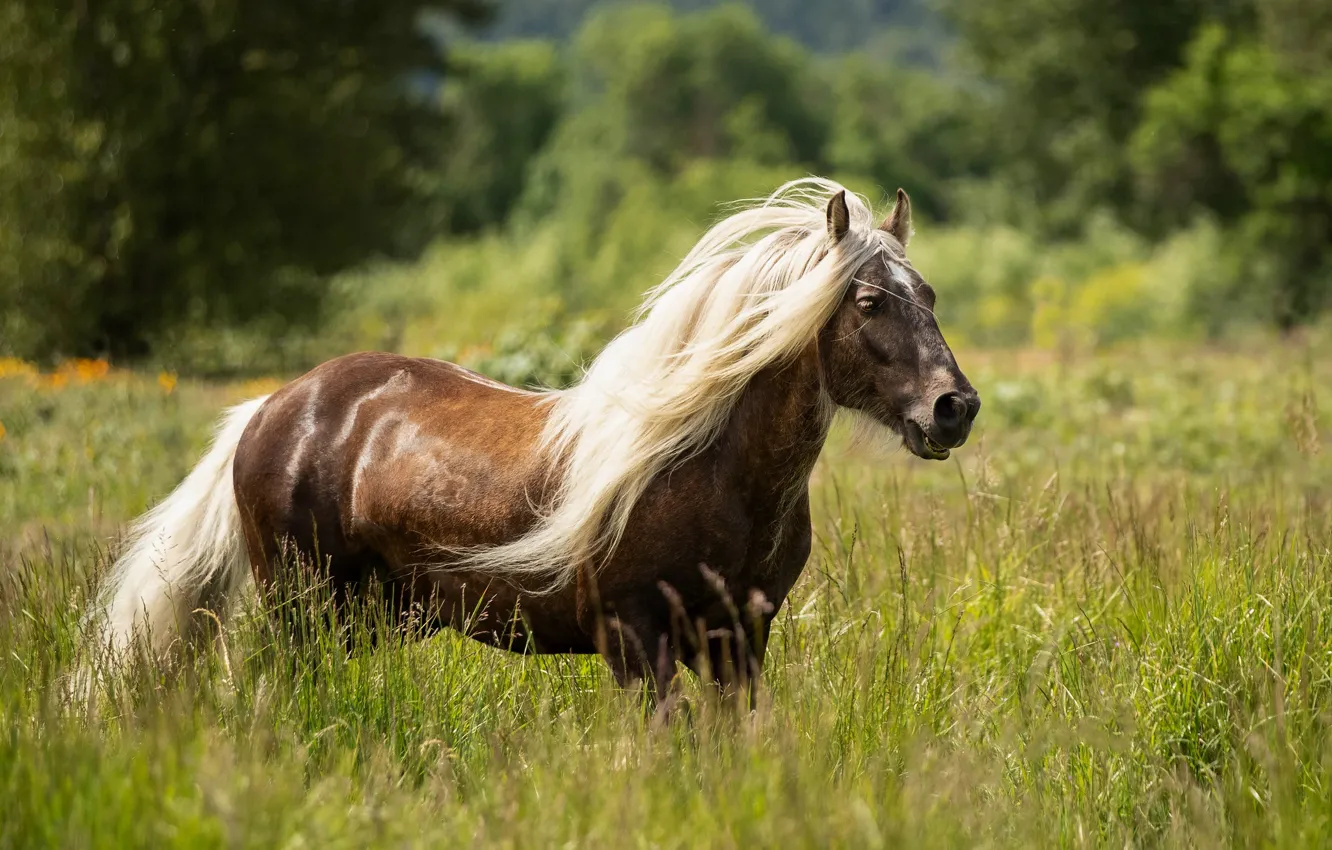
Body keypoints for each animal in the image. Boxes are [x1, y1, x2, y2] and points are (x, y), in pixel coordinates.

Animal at [88, 179, 980, 706]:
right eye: (868, 302)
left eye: (931, 295)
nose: (955, 408)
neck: (708, 471)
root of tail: (273, 406)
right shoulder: (635, 638)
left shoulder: (741, 640)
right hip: (297, 607)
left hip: (362, 619)